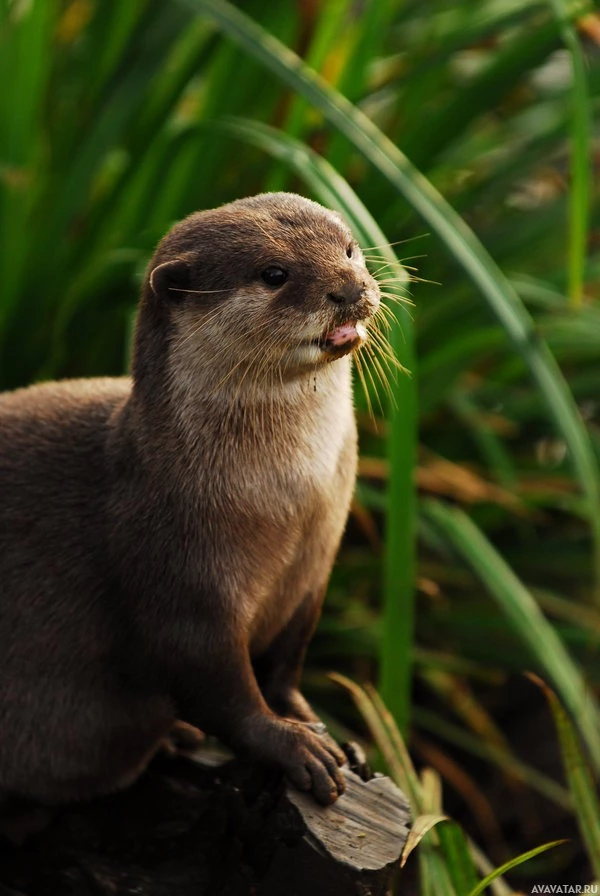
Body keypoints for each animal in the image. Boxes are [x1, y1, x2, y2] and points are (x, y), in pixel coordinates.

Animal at [0, 192, 382, 808]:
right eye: (274, 274)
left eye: (349, 249)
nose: (349, 288)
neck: (289, 505)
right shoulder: (175, 575)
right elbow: (214, 686)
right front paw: (296, 745)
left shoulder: (313, 571)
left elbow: (285, 666)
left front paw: (331, 734)